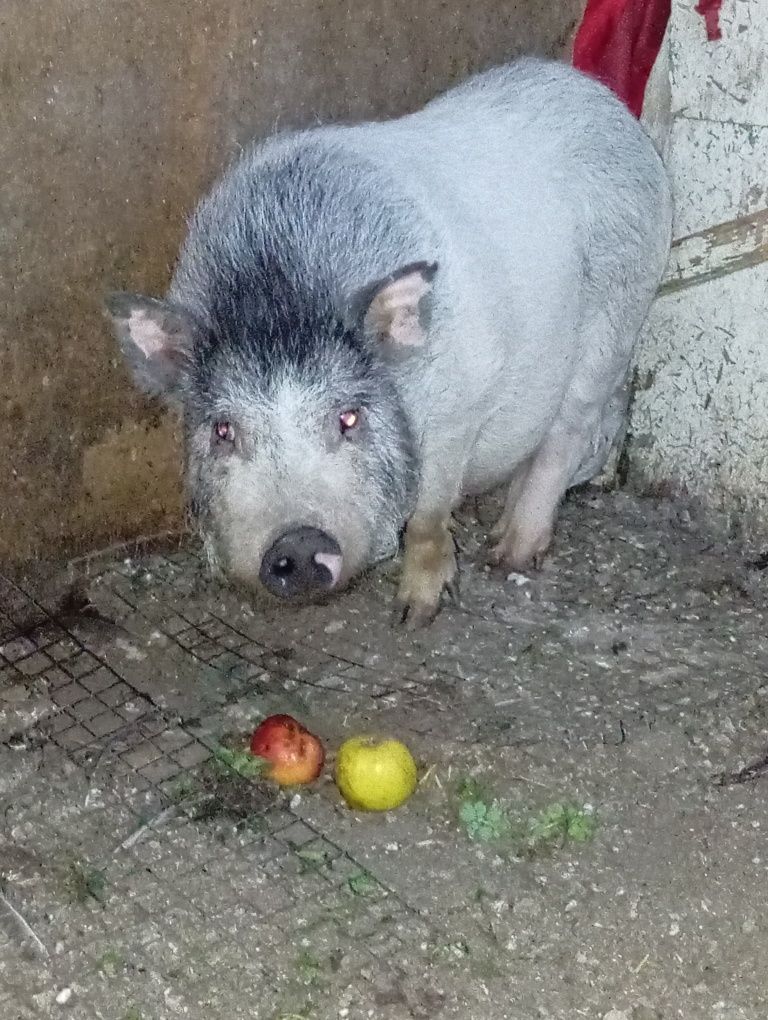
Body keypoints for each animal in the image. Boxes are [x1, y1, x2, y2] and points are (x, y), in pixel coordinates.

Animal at [106, 61, 669, 628]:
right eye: (223, 429)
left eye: (349, 417)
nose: (299, 544)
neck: (277, 296)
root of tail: (599, 98)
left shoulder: (457, 409)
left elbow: (427, 516)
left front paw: (414, 616)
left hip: (617, 320)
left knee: (566, 437)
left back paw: (507, 555)